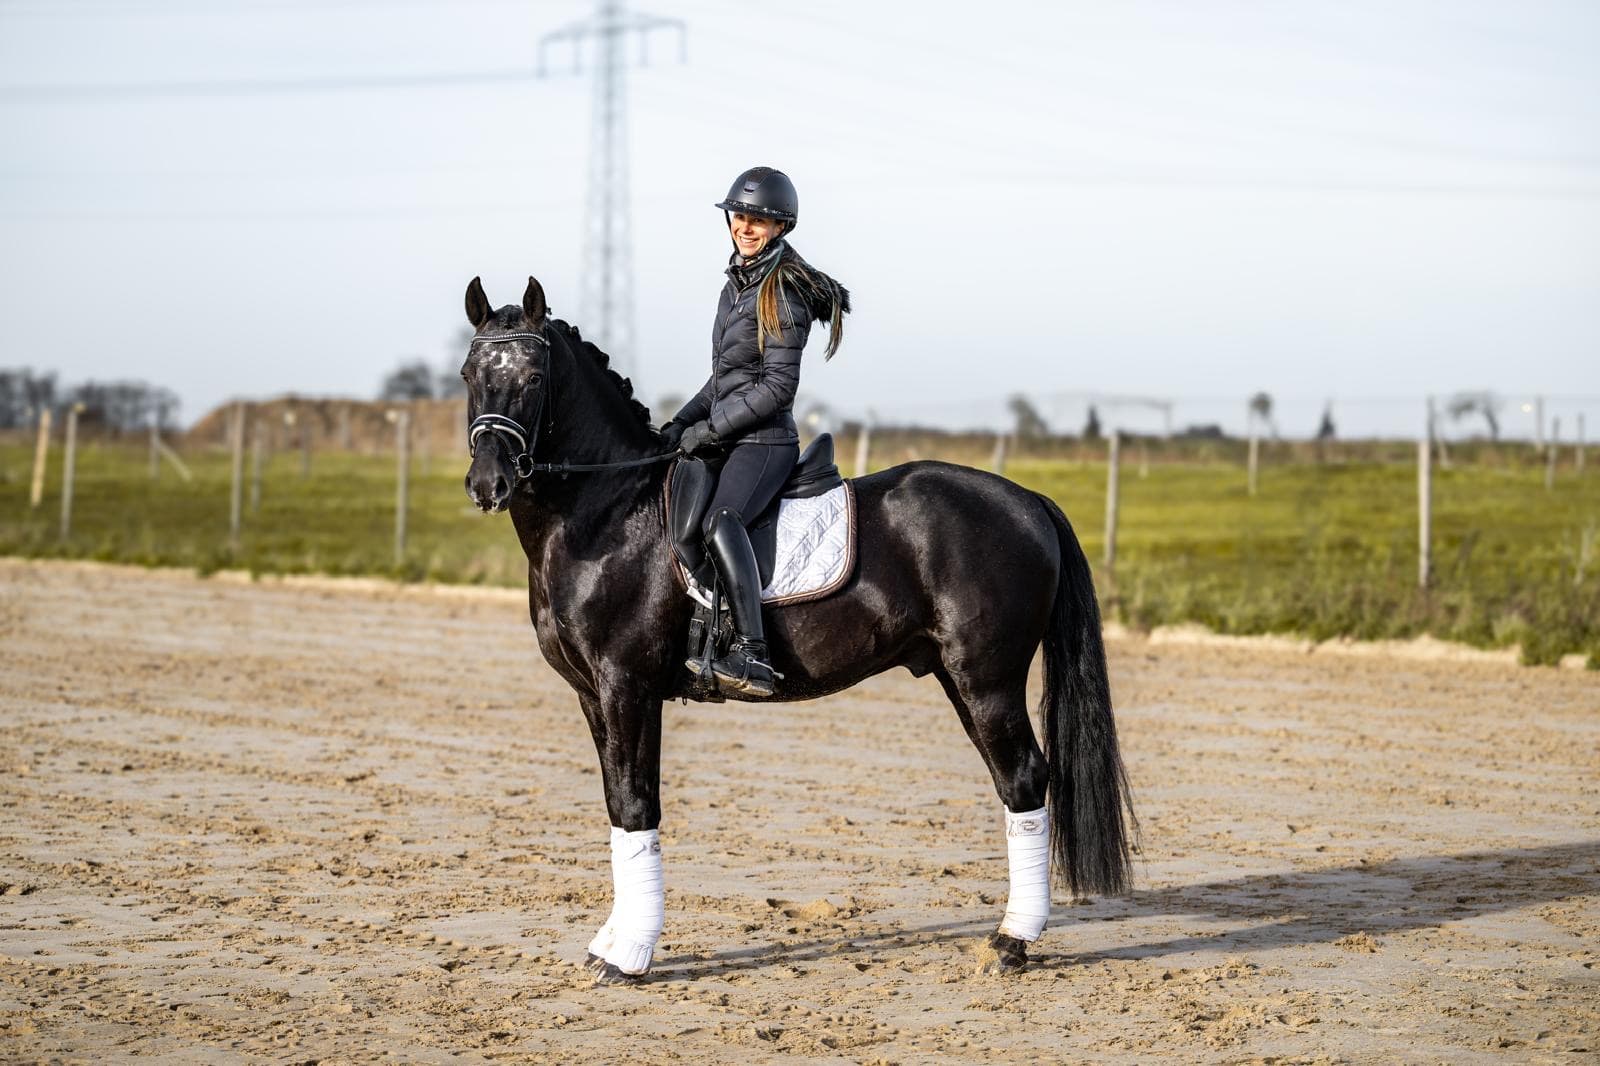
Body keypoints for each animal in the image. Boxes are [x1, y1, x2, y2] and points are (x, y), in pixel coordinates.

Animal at [459, 275, 1136, 985]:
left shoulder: (628, 686)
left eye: (535, 378)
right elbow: (619, 806)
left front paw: (630, 957)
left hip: (988, 680)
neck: (609, 515)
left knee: (1026, 779)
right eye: (470, 375)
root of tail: (1029, 501)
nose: (488, 483)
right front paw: (611, 943)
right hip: (959, 678)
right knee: (1014, 782)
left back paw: (1010, 942)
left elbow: (638, 804)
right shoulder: (593, 694)